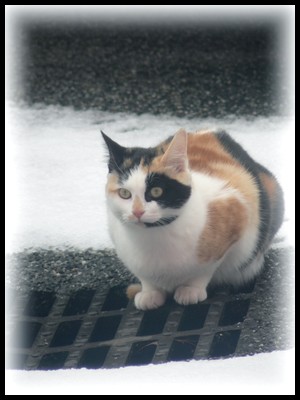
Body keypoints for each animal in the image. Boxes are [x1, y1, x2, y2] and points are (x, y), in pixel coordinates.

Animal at [101, 128, 284, 310]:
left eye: (156, 191)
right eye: (124, 193)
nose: (137, 212)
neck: (153, 236)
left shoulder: (237, 212)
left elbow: (205, 270)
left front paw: (190, 290)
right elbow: (145, 277)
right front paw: (150, 292)